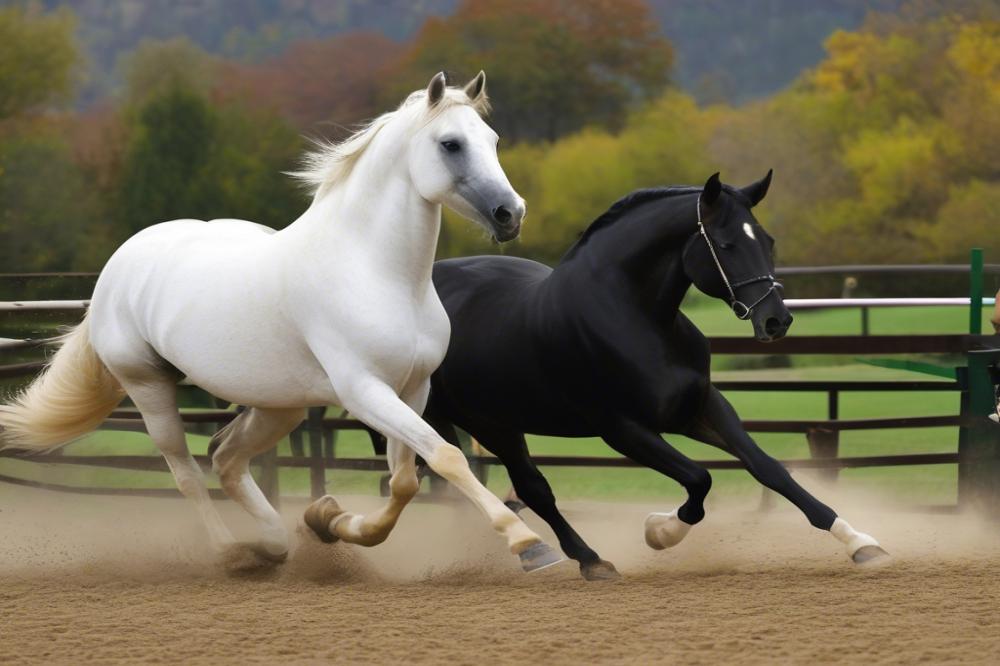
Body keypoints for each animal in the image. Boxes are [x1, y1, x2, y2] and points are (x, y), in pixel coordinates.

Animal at [0, 72, 564, 572]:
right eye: (450, 144)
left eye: (492, 140)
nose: (510, 214)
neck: (375, 271)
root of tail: (118, 268)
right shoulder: (364, 391)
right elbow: (446, 458)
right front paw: (529, 544)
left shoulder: (413, 389)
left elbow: (405, 480)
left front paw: (331, 519)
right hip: (149, 386)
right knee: (186, 471)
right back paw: (231, 554)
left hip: (279, 405)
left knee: (226, 459)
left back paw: (272, 545)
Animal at [426, 171, 888, 576]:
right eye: (727, 244)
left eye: (767, 240)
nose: (776, 321)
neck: (637, 319)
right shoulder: (623, 429)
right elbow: (700, 479)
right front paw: (660, 531)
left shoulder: (700, 408)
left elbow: (768, 468)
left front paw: (861, 543)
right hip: (481, 424)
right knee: (520, 486)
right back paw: (580, 559)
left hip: (502, 422)